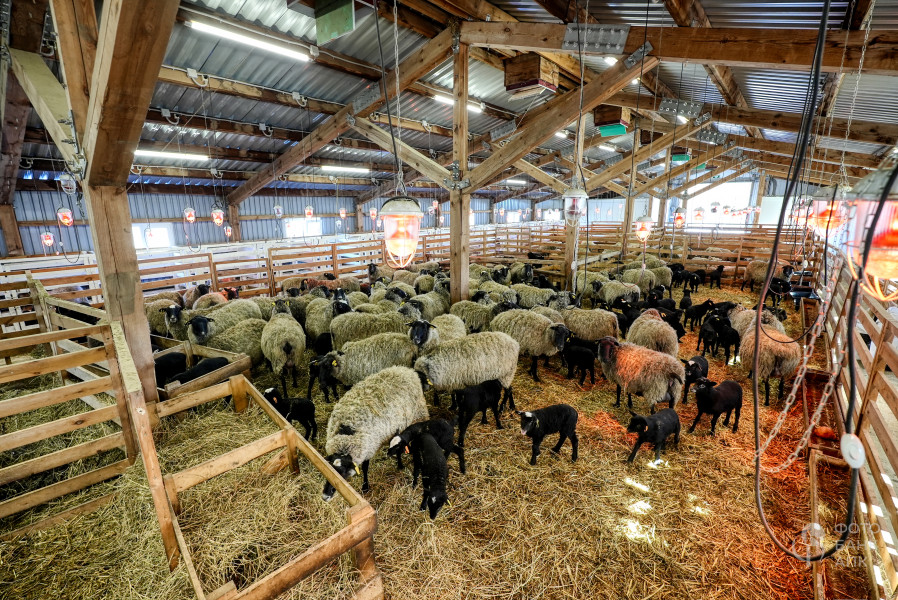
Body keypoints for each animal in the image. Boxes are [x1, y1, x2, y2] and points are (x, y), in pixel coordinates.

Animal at [322, 366, 429, 498]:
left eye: (342, 471)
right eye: (329, 469)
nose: (325, 496)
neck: (346, 432)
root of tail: (407, 370)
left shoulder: (368, 448)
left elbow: (365, 468)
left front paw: (365, 487)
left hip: (417, 415)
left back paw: (400, 465)